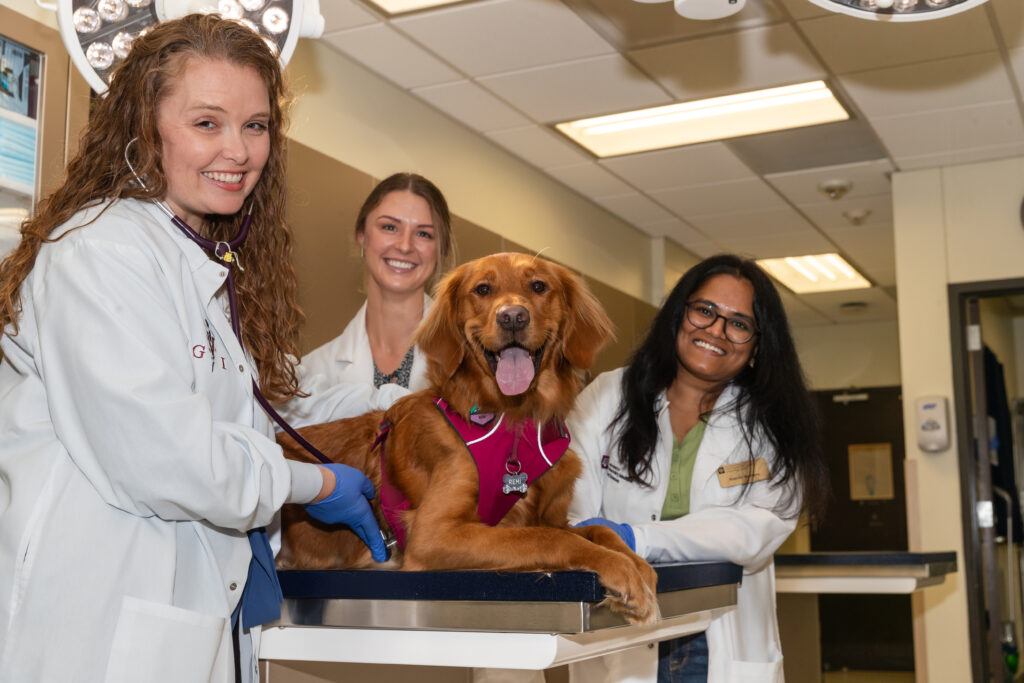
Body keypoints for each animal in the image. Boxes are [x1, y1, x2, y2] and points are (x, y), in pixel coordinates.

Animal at [280, 252, 659, 626]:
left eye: (539, 286)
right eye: (483, 289)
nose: (512, 317)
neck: (514, 422)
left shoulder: (553, 516)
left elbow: (598, 531)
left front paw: (639, 567)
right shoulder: (434, 534)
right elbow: (548, 537)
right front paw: (621, 569)